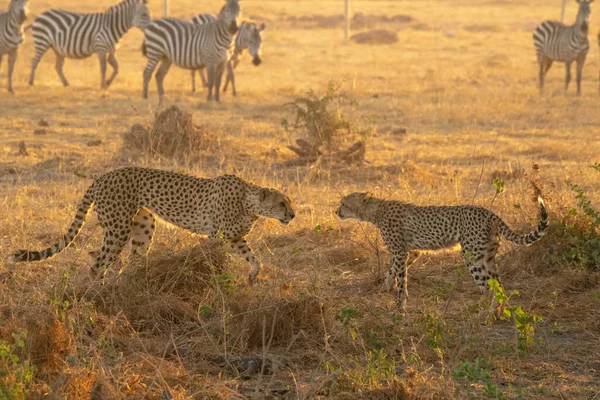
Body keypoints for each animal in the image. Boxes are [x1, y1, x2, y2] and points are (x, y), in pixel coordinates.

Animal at [9, 167, 296, 282]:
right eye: (282, 203)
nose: (292, 215)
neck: (249, 203)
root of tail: (103, 176)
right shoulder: (217, 236)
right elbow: (215, 259)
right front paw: (216, 279)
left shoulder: (235, 238)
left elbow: (253, 257)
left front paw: (253, 275)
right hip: (117, 228)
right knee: (98, 263)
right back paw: (96, 294)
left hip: (144, 225)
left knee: (124, 259)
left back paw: (126, 283)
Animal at [336, 192, 548, 314]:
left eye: (344, 203)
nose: (336, 212)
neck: (375, 210)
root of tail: (489, 213)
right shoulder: (412, 252)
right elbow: (393, 271)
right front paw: (388, 284)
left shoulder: (400, 252)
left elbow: (401, 278)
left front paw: (399, 307)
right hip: (488, 257)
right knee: (499, 287)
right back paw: (497, 313)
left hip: (471, 255)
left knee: (488, 288)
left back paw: (483, 315)